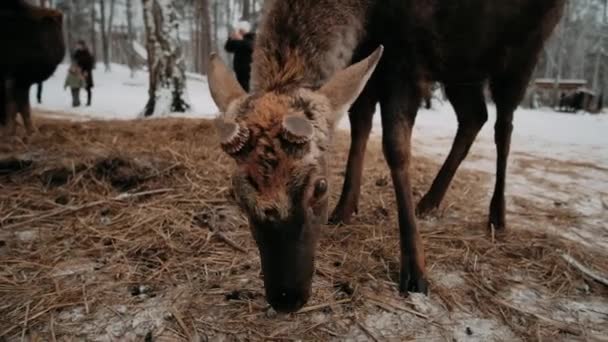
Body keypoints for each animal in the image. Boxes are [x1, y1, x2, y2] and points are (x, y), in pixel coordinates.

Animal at [208, 0, 564, 312]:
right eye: (237, 194)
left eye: (320, 186)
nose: (285, 297)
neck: (363, 10)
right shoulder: (368, 57)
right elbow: (360, 125)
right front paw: (345, 208)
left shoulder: (408, 59)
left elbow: (395, 147)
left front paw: (415, 270)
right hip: (462, 65)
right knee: (474, 116)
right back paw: (430, 200)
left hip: (522, 52)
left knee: (503, 123)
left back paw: (497, 214)